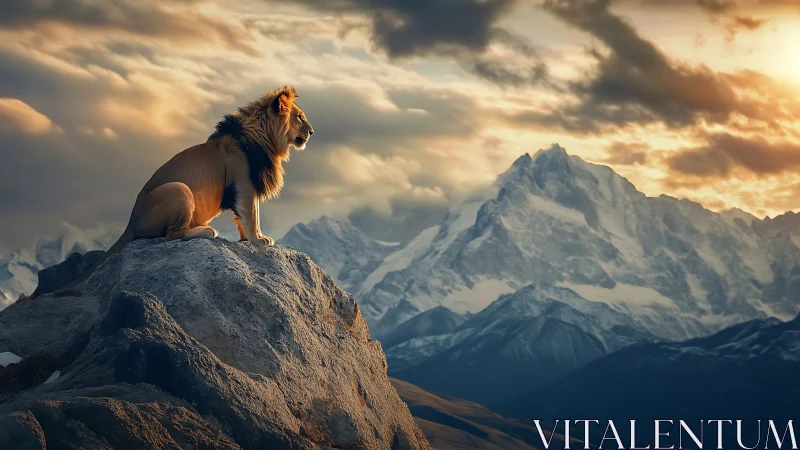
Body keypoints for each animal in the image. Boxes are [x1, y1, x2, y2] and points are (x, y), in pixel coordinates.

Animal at [31, 86, 313, 298]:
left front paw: (245, 240)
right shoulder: (244, 184)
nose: (311, 132)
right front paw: (259, 240)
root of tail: (130, 221)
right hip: (180, 188)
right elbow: (251, 214)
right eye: (299, 117)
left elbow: (241, 218)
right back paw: (206, 231)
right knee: (172, 235)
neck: (266, 139)